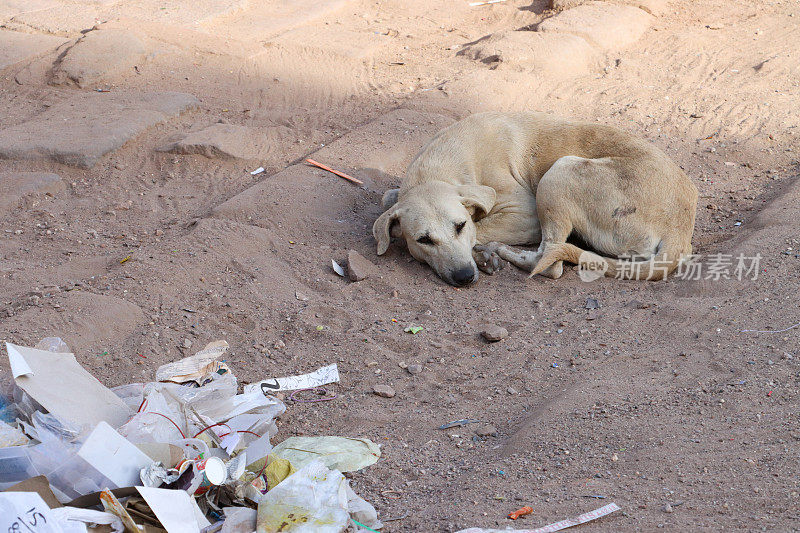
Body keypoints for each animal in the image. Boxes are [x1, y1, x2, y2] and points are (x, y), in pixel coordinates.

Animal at [372, 112, 696, 286]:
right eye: (424, 240)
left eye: (460, 226)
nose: (465, 276)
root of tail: (680, 230)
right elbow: (388, 198)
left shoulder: (524, 214)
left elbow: (482, 228)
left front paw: (482, 252)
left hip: (560, 172)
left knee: (550, 262)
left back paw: (501, 252)